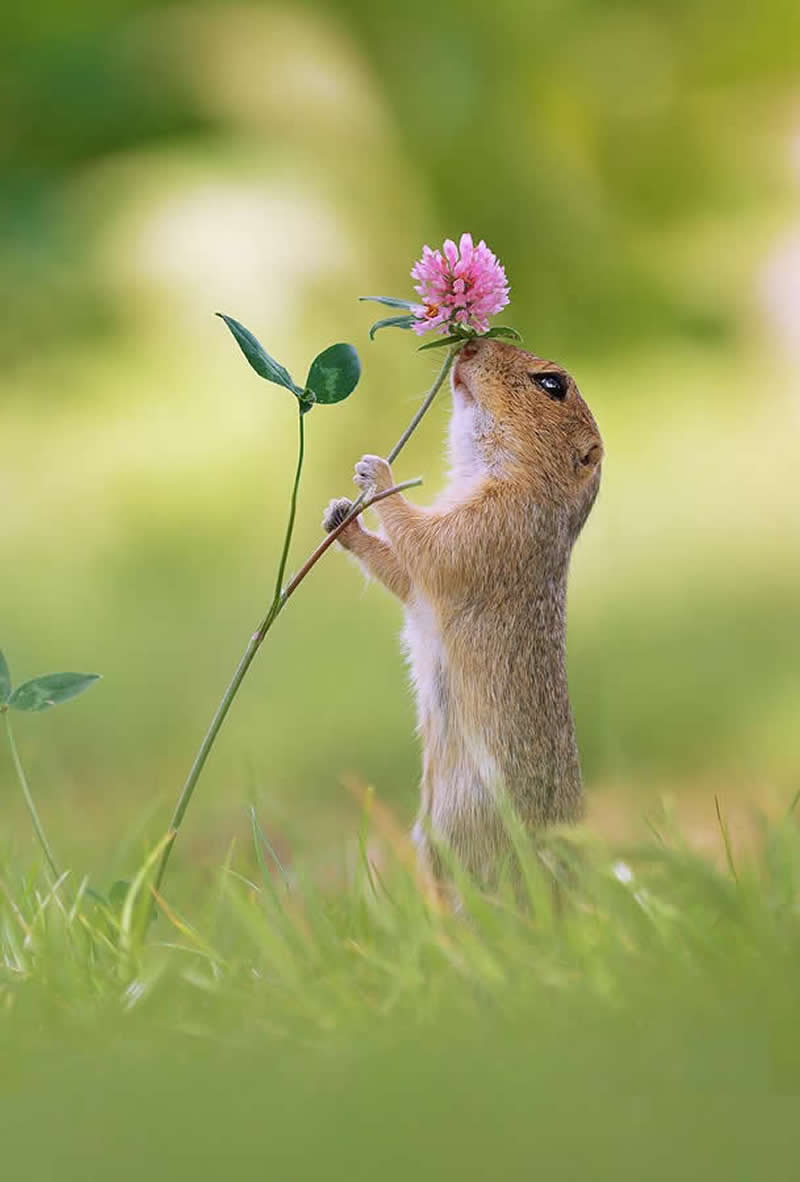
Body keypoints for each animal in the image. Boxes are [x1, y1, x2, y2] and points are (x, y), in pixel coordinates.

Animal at [322, 338, 603, 881]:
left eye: (552, 383)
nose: (471, 342)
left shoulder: (493, 525)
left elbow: (428, 546)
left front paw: (377, 473)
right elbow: (404, 574)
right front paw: (341, 517)